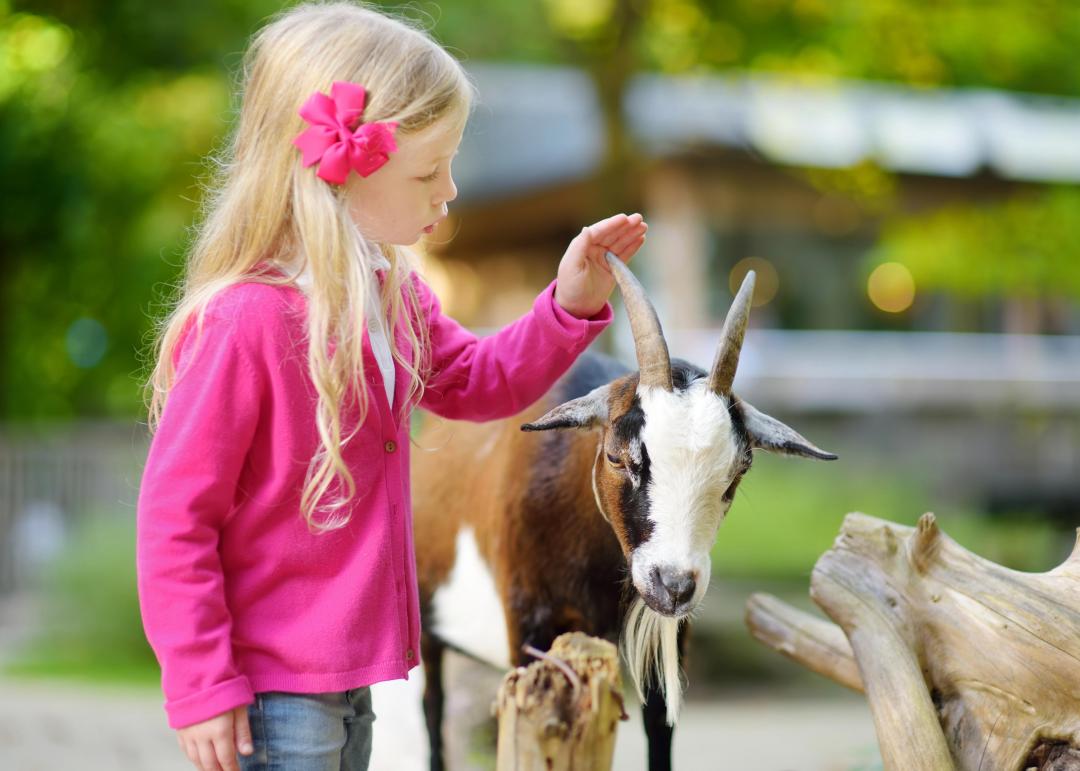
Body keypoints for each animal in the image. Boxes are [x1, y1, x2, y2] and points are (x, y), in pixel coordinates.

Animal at [412, 255, 836, 771]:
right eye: (617, 456)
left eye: (740, 469)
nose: (674, 585)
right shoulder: (528, 626)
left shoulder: (669, 637)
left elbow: (659, 730)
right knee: (432, 708)